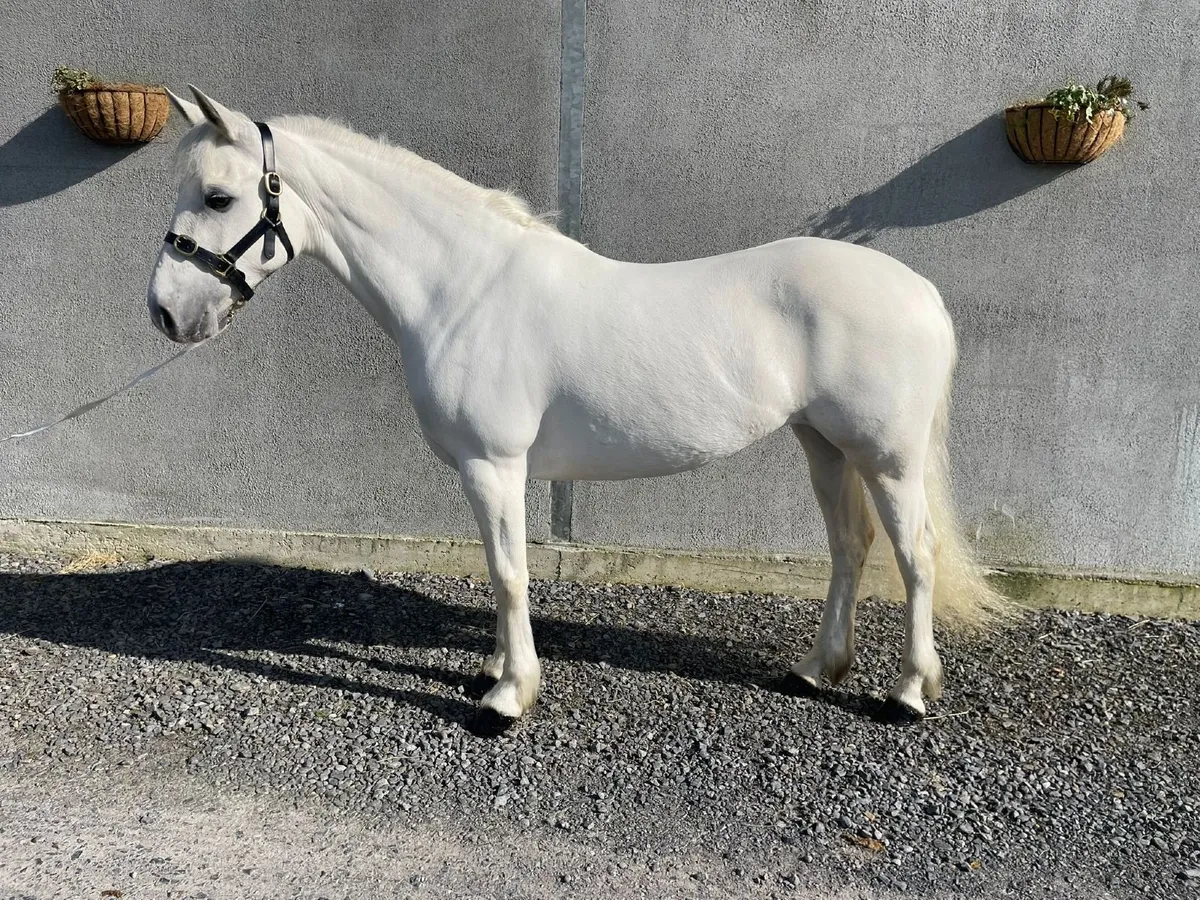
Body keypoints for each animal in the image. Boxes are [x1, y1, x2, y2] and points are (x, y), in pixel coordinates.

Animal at [147, 87, 1005, 734]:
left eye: (219, 196)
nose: (165, 313)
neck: (462, 289)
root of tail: (920, 292)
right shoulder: (486, 472)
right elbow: (499, 567)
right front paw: (492, 669)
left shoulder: (494, 464)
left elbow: (509, 572)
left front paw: (506, 699)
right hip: (822, 444)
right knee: (850, 546)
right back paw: (815, 671)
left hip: (888, 458)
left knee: (916, 555)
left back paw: (906, 694)